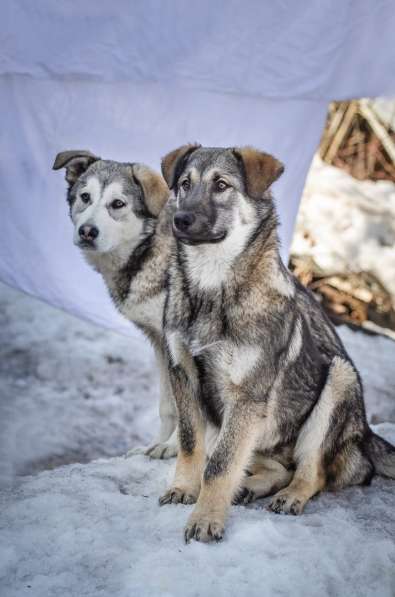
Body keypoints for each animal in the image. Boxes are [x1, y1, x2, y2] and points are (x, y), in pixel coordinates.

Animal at [53, 151, 180, 458]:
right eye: (85, 197)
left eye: (118, 204)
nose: (87, 231)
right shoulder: (160, 343)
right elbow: (168, 406)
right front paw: (156, 444)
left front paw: (172, 447)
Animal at [159, 146, 395, 544]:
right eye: (185, 184)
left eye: (221, 185)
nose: (180, 219)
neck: (212, 288)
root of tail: (365, 437)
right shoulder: (184, 376)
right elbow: (192, 445)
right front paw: (183, 489)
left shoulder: (245, 398)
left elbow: (219, 466)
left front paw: (206, 519)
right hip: (254, 430)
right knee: (277, 466)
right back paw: (250, 486)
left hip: (339, 379)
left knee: (313, 472)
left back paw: (290, 496)